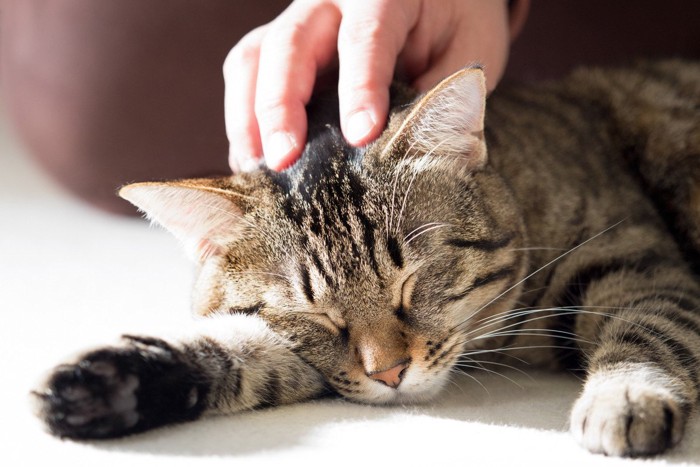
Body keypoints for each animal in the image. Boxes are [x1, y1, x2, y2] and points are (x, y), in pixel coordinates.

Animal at [31, 60, 700, 458]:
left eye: (412, 280)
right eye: (317, 316)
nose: (391, 374)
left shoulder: (636, 260)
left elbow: (649, 327)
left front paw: (624, 398)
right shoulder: (314, 355)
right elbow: (251, 352)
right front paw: (120, 383)